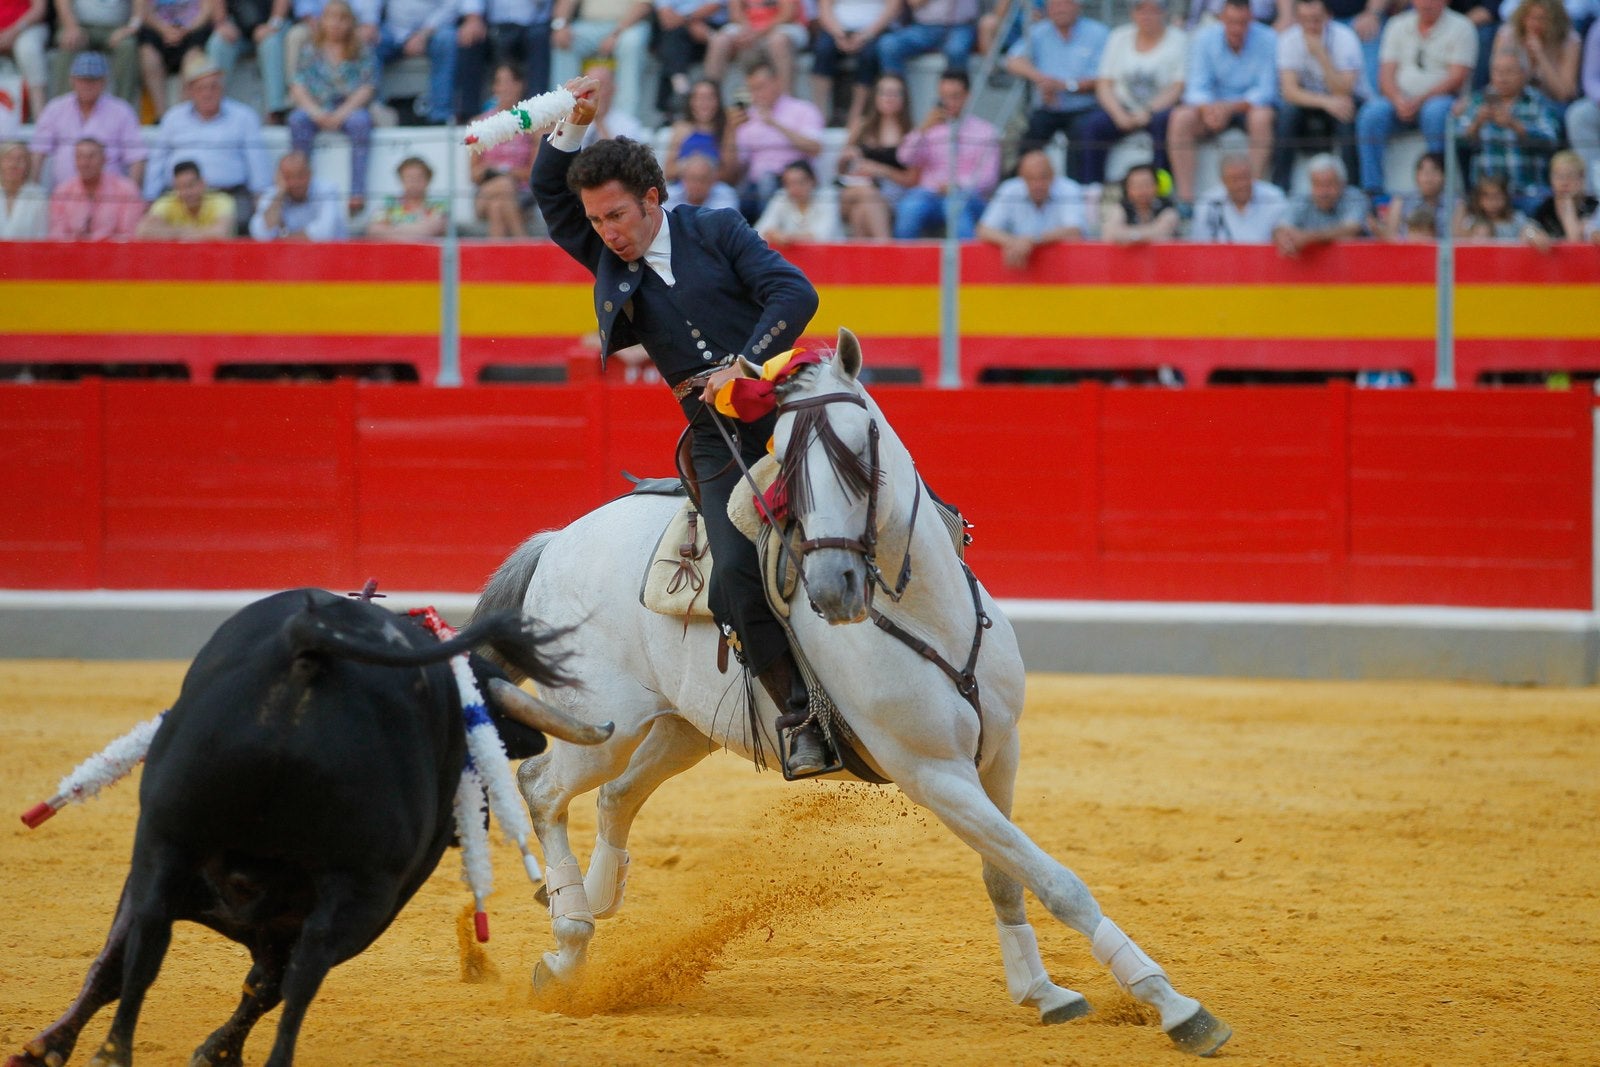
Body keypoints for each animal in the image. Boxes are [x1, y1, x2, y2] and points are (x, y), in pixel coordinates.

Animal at [9, 588, 608, 1067]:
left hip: (166, 842)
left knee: (147, 949)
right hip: (356, 895)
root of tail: (310, 648)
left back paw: (113, 1055)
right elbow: (265, 986)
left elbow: (218, 977)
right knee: (292, 976)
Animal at [470, 331, 1222, 1062]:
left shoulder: (1000, 751)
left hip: (684, 726)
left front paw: (1043, 991)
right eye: (784, 465)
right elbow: (1055, 878)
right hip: (604, 718)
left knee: (614, 794)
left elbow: (1007, 873)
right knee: (544, 785)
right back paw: (567, 938)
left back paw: (585, 908)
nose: (832, 588)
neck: (927, 615)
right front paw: (1175, 1006)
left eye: (864, 453)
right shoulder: (934, 773)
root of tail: (559, 541)